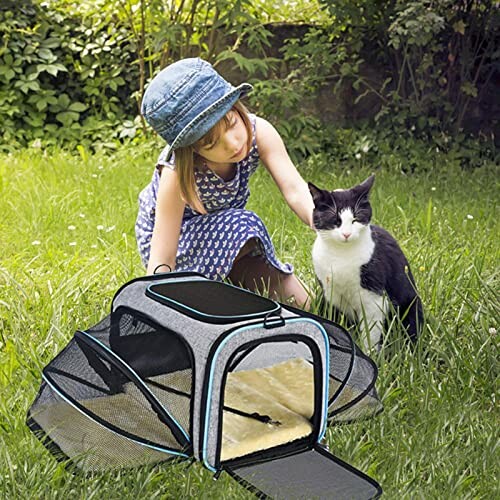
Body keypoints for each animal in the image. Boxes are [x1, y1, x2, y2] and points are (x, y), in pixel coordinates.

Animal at [308, 176, 422, 352]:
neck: (341, 254)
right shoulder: (330, 295)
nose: (346, 234)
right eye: (336, 220)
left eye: (355, 219)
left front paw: (369, 353)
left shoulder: (374, 299)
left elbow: (371, 333)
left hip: (411, 307)